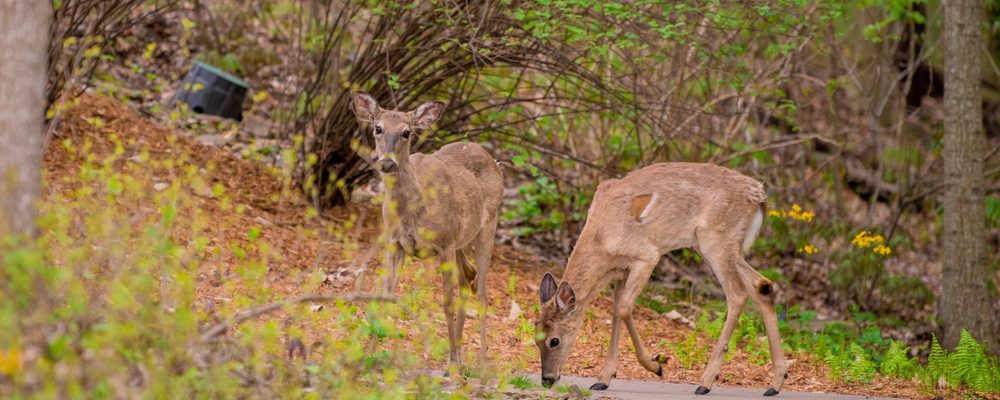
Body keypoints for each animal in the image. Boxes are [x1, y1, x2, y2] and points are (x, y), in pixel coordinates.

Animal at [350, 92, 504, 370]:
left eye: (406, 132)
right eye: (378, 128)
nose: (387, 163)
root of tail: (494, 161)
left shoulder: (444, 245)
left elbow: (447, 303)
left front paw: (452, 365)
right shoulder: (394, 242)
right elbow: (384, 295)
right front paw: (368, 354)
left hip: (487, 226)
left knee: (483, 291)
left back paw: (480, 362)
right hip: (460, 239)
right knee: (468, 276)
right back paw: (460, 354)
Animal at [535, 162, 788, 396]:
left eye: (554, 340)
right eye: (536, 338)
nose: (547, 379)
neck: (602, 239)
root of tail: (760, 195)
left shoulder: (646, 256)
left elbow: (625, 308)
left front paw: (656, 365)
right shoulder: (620, 271)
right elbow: (616, 311)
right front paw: (603, 379)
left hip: (715, 240)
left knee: (737, 294)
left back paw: (706, 382)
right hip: (722, 247)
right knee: (762, 285)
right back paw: (775, 383)